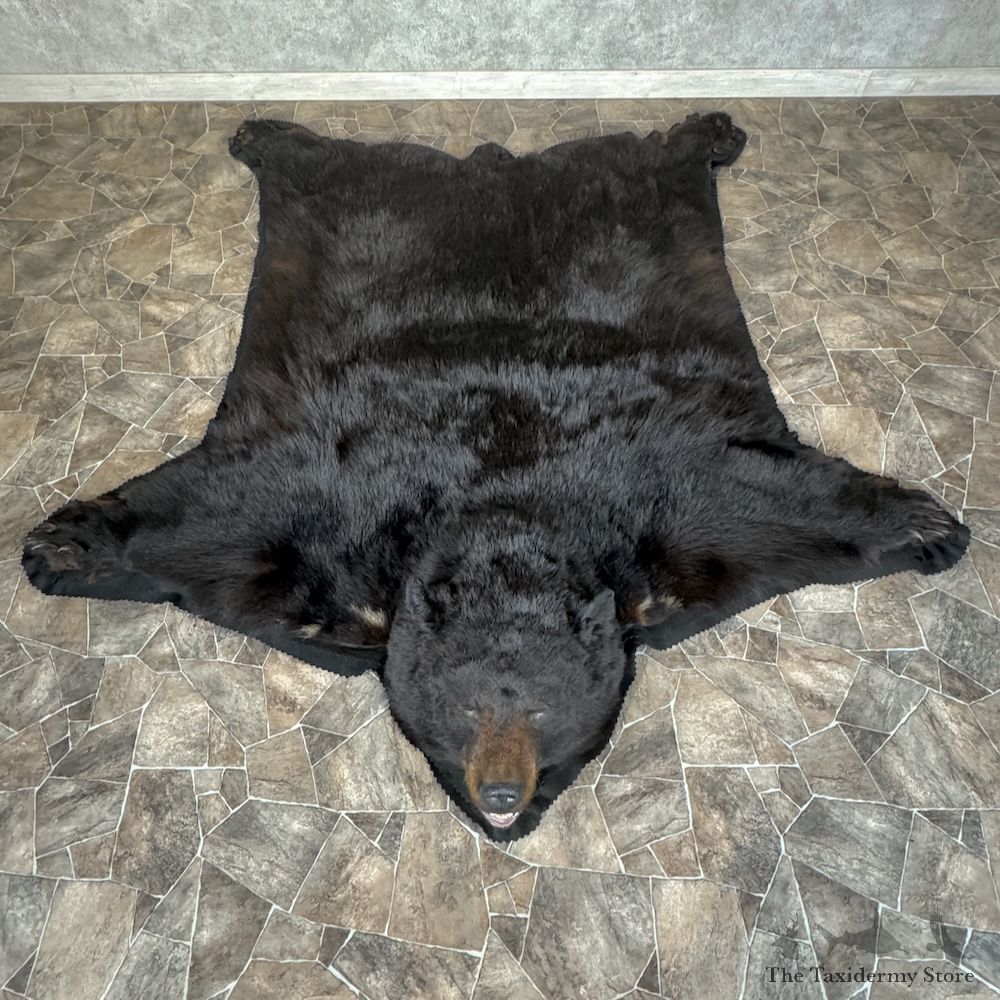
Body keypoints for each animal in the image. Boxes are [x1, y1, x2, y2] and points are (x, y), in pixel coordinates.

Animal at [22, 113, 969, 840]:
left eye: (543, 710)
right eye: (469, 710)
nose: (504, 792)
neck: (501, 515)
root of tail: (492, 165)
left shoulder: (674, 510)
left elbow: (776, 502)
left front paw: (928, 526)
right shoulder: (326, 516)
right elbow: (215, 523)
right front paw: (61, 544)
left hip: (640, 199)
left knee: (649, 157)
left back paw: (708, 131)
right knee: (322, 162)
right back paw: (267, 135)